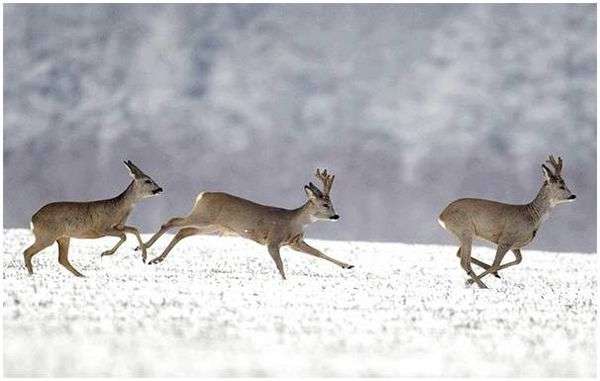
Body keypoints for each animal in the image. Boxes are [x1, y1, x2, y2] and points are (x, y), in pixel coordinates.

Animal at [23, 160, 163, 276]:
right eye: (148, 180)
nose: (160, 189)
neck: (117, 209)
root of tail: (33, 218)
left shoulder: (119, 226)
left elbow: (134, 230)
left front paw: (144, 256)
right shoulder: (102, 228)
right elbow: (124, 236)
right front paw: (106, 253)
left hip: (63, 237)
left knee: (62, 259)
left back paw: (81, 275)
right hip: (47, 235)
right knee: (27, 252)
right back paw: (31, 274)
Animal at [138, 168, 354, 278]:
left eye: (332, 204)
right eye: (325, 204)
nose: (336, 216)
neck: (293, 221)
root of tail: (202, 195)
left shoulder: (295, 242)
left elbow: (318, 252)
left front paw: (348, 265)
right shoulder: (273, 241)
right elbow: (280, 264)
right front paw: (284, 281)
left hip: (212, 226)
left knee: (183, 231)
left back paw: (156, 258)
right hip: (203, 216)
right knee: (171, 221)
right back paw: (144, 251)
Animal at [438, 155, 576, 288]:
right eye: (561, 186)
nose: (573, 196)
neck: (531, 216)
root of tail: (442, 215)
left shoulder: (515, 245)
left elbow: (518, 260)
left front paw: (494, 273)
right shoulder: (506, 238)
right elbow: (496, 263)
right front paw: (472, 280)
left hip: (467, 234)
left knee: (459, 254)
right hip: (464, 230)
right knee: (464, 261)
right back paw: (482, 285)